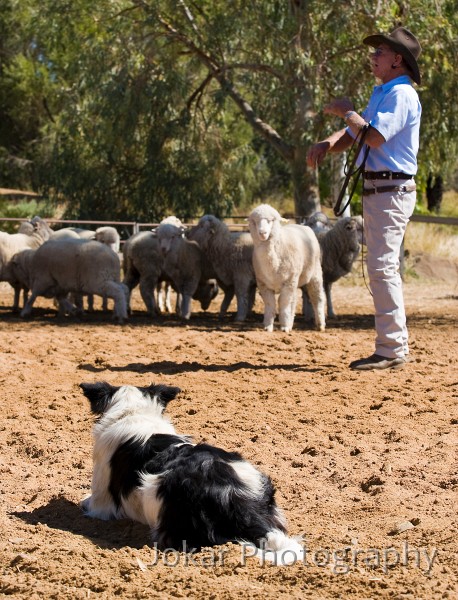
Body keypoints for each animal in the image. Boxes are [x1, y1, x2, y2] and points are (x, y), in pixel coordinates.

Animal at [247, 203, 326, 332]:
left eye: (271, 220)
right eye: (254, 221)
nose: (262, 233)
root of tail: (301, 225)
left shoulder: (288, 281)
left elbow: (283, 302)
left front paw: (284, 326)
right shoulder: (263, 284)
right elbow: (270, 304)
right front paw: (268, 326)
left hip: (314, 273)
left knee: (317, 297)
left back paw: (320, 324)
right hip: (295, 280)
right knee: (293, 301)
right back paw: (291, 321)